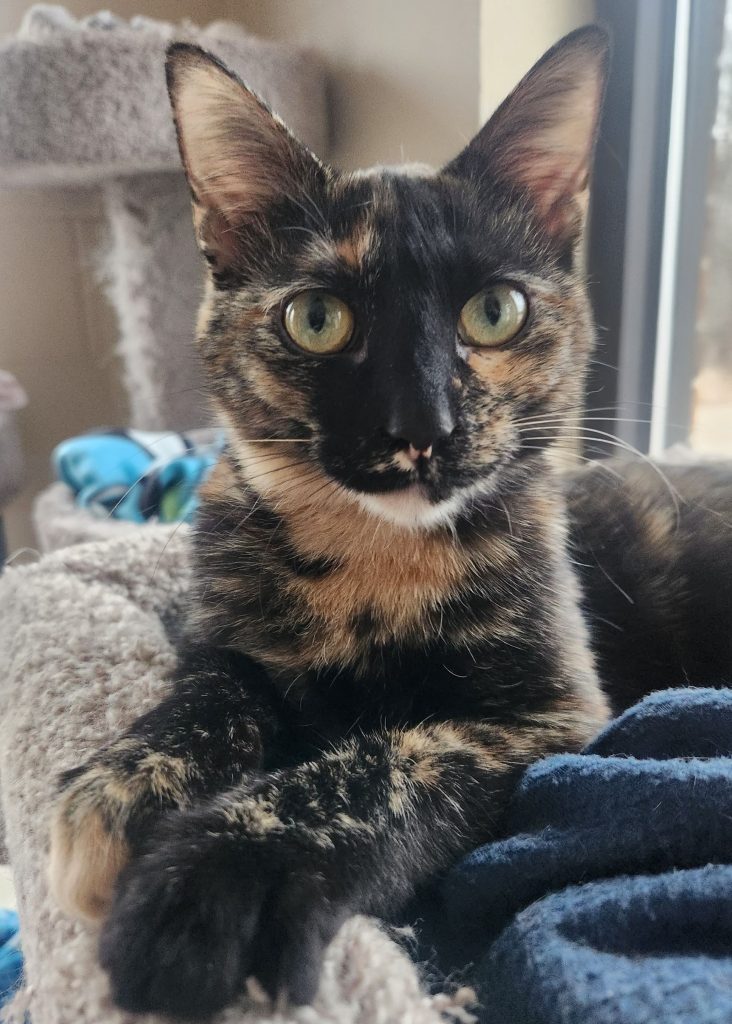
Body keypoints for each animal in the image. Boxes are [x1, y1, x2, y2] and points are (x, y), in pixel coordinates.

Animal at [48, 25, 732, 1020]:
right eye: (317, 318)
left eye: (495, 311)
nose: (422, 427)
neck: (374, 559)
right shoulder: (216, 633)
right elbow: (214, 689)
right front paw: (129, 782)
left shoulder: (550, 716)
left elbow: (386, 764)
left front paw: (216, 878)